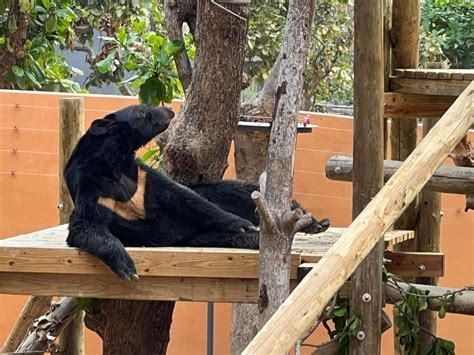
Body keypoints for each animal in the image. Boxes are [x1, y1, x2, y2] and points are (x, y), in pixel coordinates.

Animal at [65, 104, 330, 280]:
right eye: (143, 111)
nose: (170, 111)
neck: (115, 162)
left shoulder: (143, 177)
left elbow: (184, 197)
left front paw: (241, 223)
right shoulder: (93, 190)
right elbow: (85, 228)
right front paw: (128, 268)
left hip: (223, 195)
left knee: (243, 191)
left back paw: (314, 222)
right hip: (198, 237)